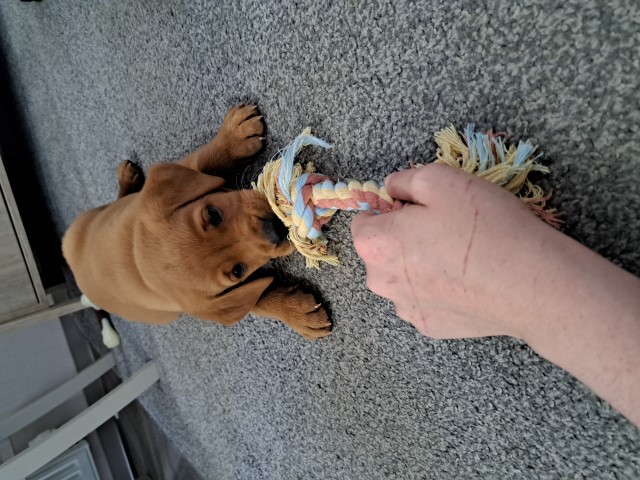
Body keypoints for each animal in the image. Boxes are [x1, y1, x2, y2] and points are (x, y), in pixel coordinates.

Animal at [61, 105, 330, 338]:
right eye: (238, 271)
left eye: (213, 214)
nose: (274, 229)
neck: (137, 263)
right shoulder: (214, 300)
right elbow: (259, 297)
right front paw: (298, 314)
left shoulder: (181, 175)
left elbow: (204, 161)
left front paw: (234, 136)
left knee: (118, 202)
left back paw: (126, 180)